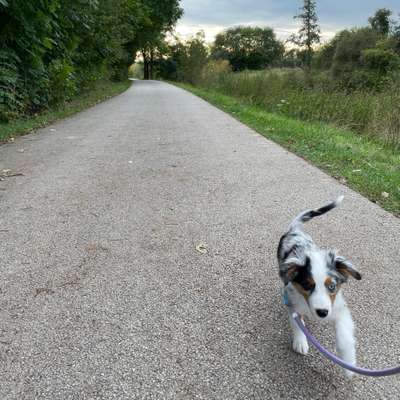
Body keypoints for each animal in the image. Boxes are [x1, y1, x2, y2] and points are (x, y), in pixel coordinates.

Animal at [278, 197, 362, 378]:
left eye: (332, 286)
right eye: (307, 285)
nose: (322, 313)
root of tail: (295, 229)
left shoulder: (338, 307)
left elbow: (344, 334)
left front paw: (348, 363)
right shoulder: (292, 300)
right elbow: (297, 323)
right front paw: (300, 341)